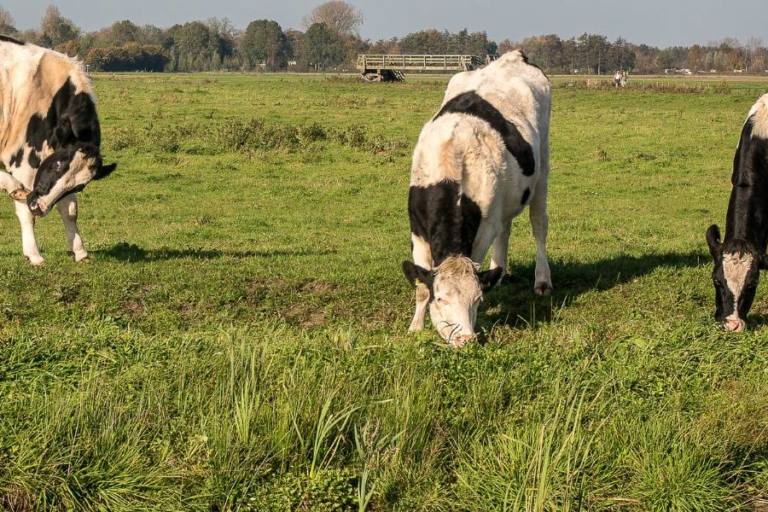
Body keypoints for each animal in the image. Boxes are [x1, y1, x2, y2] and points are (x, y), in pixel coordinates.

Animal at [0, 35, 116, 266]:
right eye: (58, 164)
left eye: (80, 187)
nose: (39, 207)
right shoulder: (23, 159)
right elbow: (25, 210)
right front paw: (34, 254)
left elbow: (69, 210)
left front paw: (80, 251)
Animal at [402, 50, 552, 347]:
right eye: (441, 299)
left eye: (476, 299)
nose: (466, 339)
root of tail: (513, 57)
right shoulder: (417, 229)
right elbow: (421, 284)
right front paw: (415, 327)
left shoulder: (484, 228)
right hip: (505, 197)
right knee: (505, 229)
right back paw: (499, 274)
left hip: (542, 167)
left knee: (539, 226)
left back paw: (542, 281)